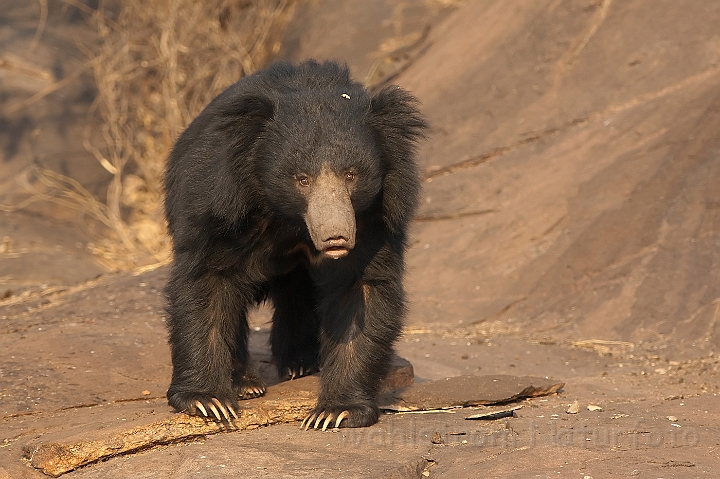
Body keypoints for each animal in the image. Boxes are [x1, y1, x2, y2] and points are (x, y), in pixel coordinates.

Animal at [162, 60, 428, 432]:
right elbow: (207, 283)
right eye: (302, 179)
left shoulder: (375, 219)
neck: (289, 219)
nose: (336, 238)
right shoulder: (218, 205)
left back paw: (300, 363)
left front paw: (336, 412)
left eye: (351, 175)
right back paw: (247, 383)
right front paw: (208, 402)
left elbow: (359, 291)